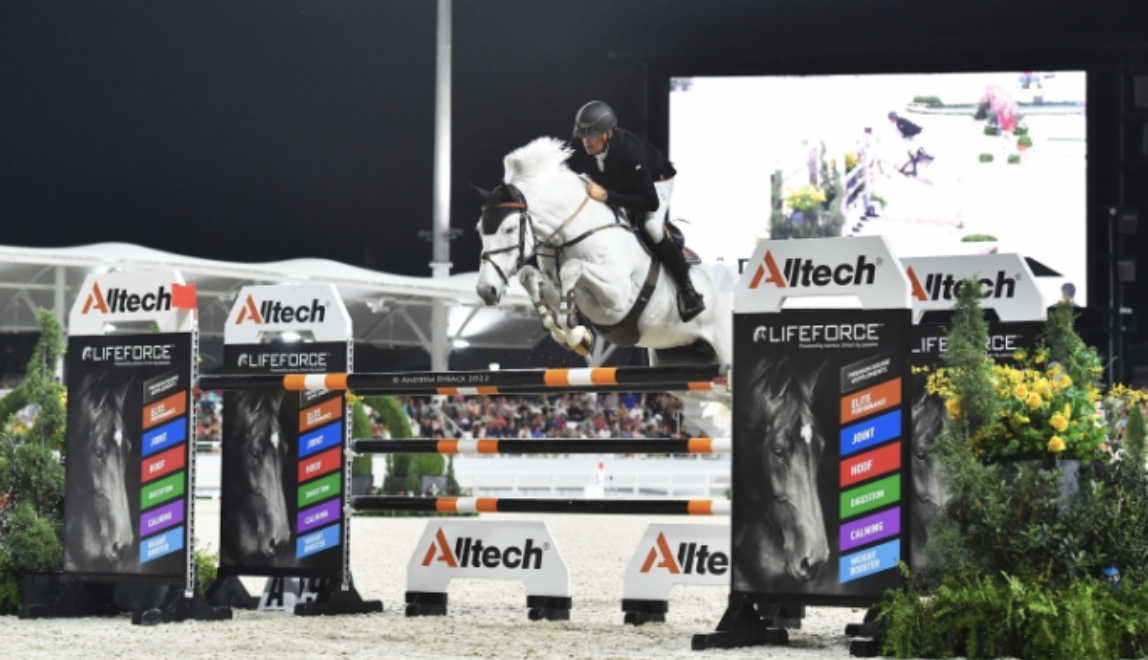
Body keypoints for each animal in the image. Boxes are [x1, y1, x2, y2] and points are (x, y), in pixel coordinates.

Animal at [477, 138, 734, 408]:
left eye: (509, 228)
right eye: (479, 229)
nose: (486, 290)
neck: (571, 235)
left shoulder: (618, 298)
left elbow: (573, 267)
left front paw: (574, 332)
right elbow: (531, 277)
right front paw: (576, 335)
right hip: (684, 371)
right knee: (721, 395)